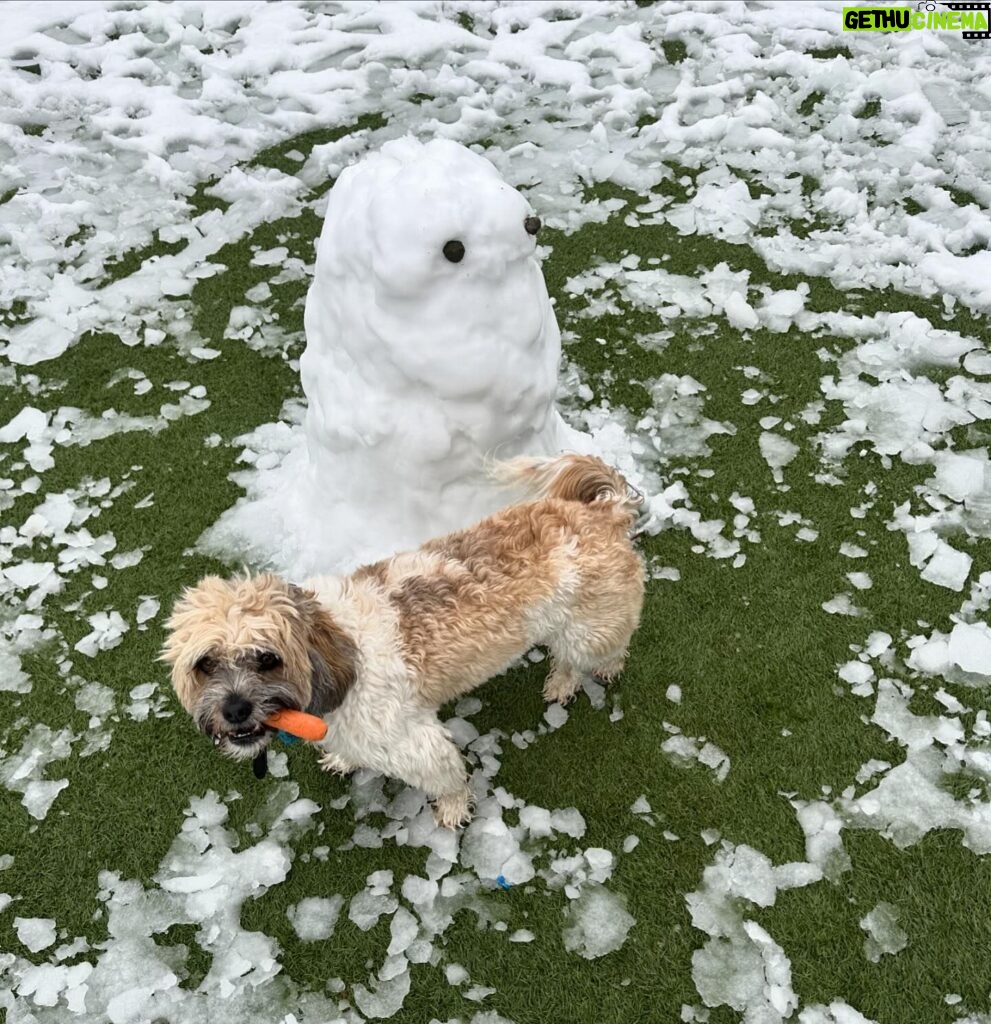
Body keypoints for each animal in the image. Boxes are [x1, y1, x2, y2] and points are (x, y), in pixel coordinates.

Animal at [160, 454, 642, 823]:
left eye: (267, 658)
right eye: (205, 664)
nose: (234, 710)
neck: (337, 656)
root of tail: (604, 511)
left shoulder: (413, 743)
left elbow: (447, 776)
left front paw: (453, 810)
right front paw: (344, 759)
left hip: (590, 627)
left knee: (598, 649)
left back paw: (581, 676)